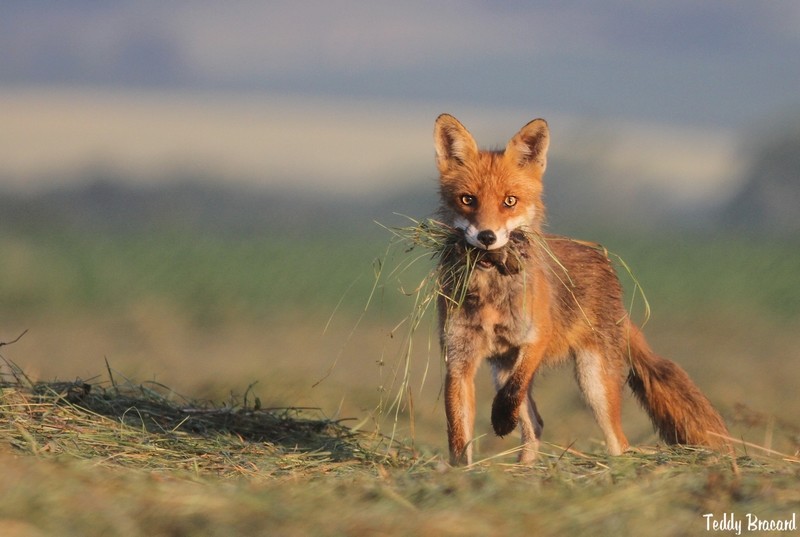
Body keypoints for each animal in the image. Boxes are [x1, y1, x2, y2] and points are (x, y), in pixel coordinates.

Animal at [432, 113, 732, 464]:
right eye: (468, 200)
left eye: (510, 201)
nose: (487, 238)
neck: (493, 294)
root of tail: (602, 259)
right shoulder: (458, 358)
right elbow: (457, 435)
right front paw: (460, 473)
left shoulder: (536, 338)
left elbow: (512, 394)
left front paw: (501, 420)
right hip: (504, 368)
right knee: (536, 424)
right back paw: (525, 470)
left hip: (593, 382)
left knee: (617, 442)